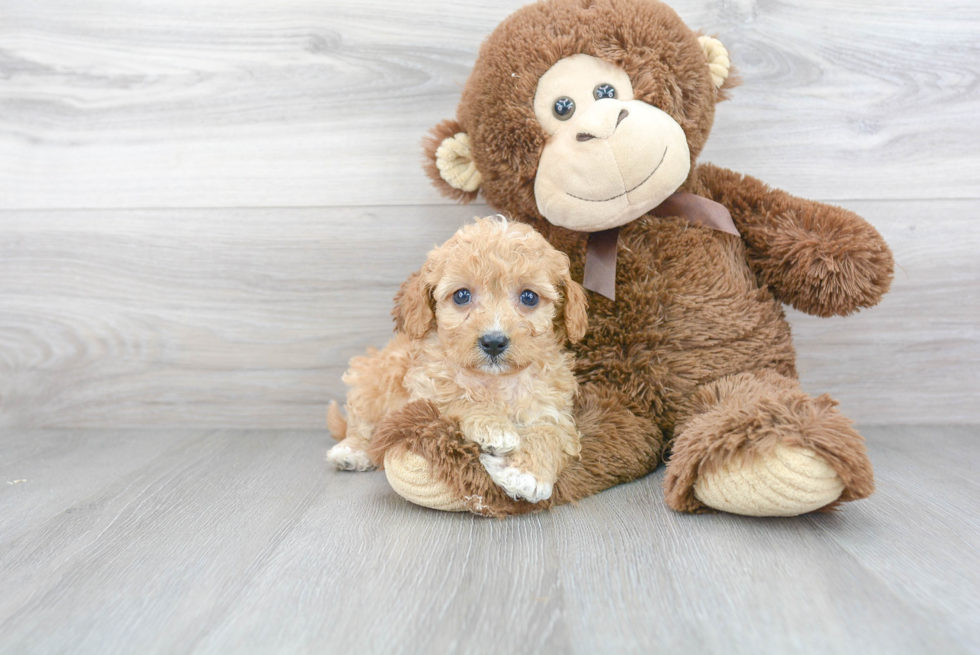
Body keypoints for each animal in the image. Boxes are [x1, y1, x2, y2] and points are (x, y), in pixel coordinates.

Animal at [330, 215, 588, 502]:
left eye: (529, 297)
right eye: (462, 295)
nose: (494, 342)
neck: (495, 380)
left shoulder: (552, 407)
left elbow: (551, 432)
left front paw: (527, 475)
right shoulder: (425, 389)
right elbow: (458, 397)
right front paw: (493, 428)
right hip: (374, 380)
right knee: (361, 422)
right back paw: (351, 451)